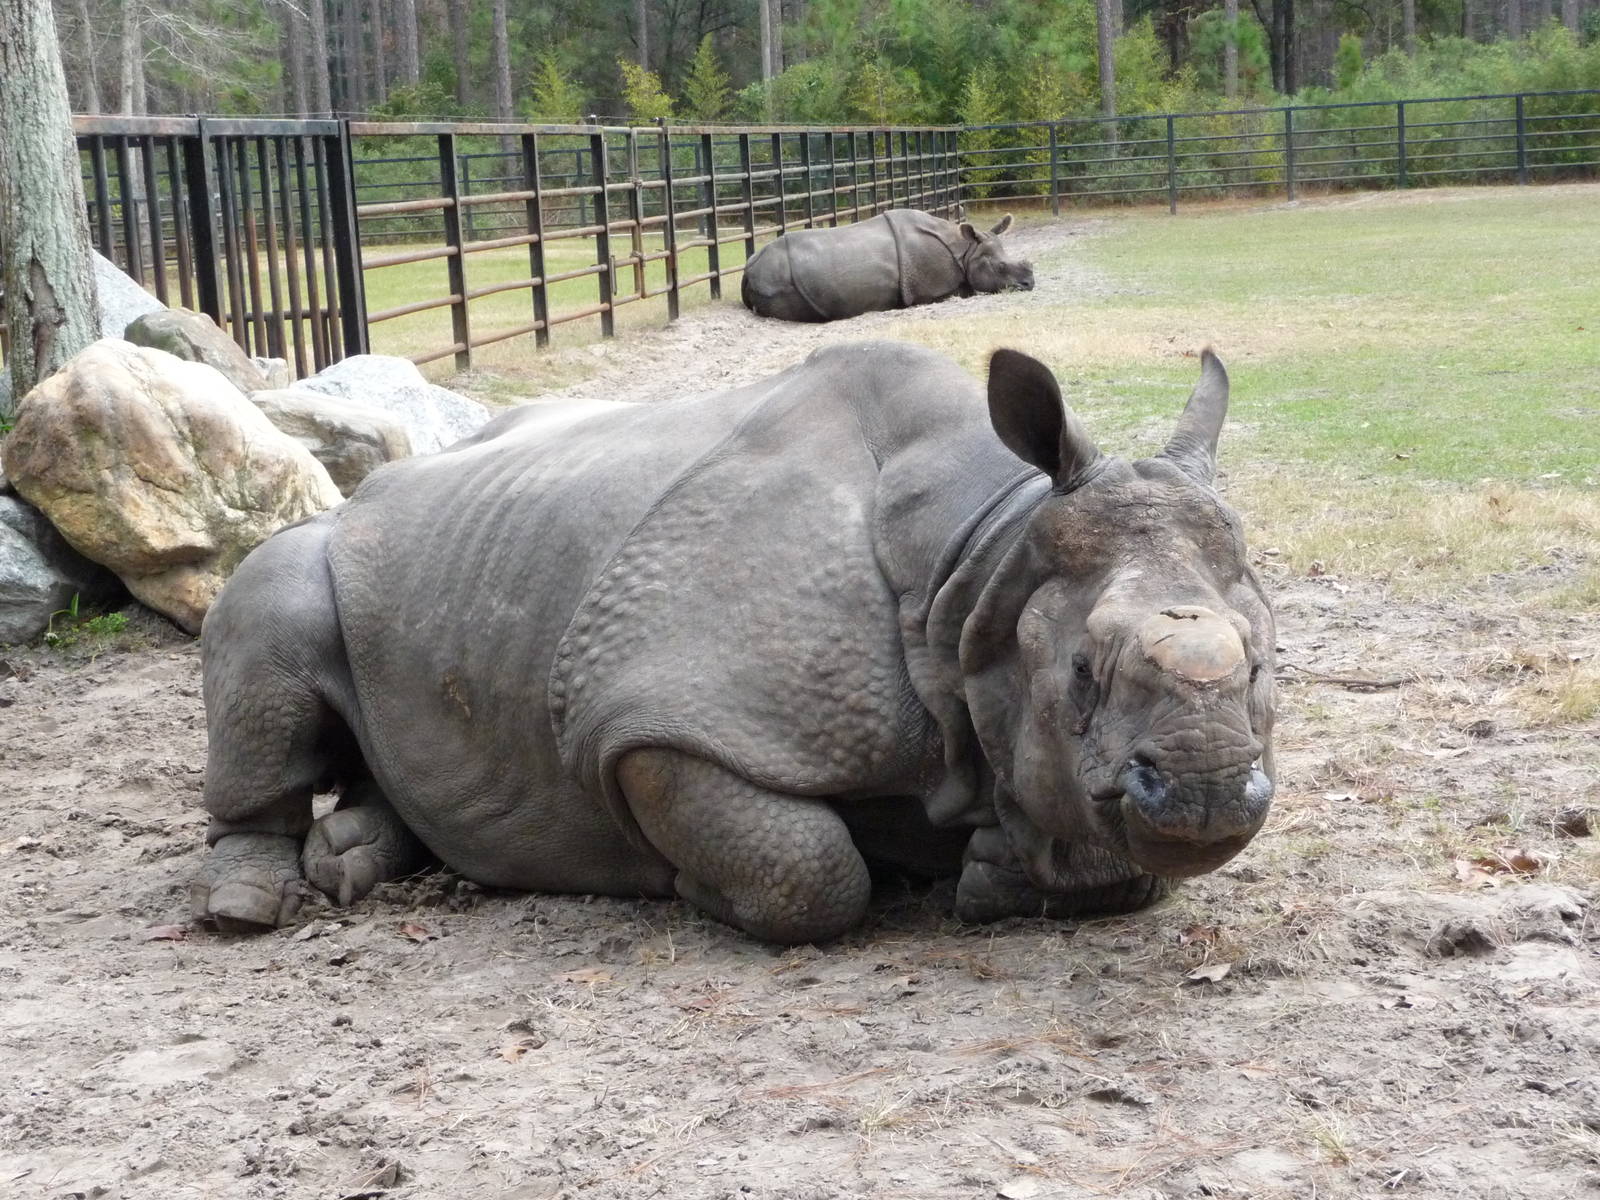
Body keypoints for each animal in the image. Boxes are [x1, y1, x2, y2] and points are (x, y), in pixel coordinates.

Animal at [192, 341, 1277, 945]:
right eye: (1081, 674)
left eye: (1264, 665)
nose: (1210, 792)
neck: (980, 563)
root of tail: (376, 486)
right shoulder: (654, 717)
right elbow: (810, 872)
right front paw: (694, 889)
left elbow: (1105, 850)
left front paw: (998, 868)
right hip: (317, 542)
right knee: (270, 605)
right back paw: (247, 909)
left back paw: (351, 858)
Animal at [740, 210, 1034, 322]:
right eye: (999, 267)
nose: (1030, 283)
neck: (966, 250)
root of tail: (748, 268)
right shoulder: (932, 290)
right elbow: (962, 292)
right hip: (776, 277)